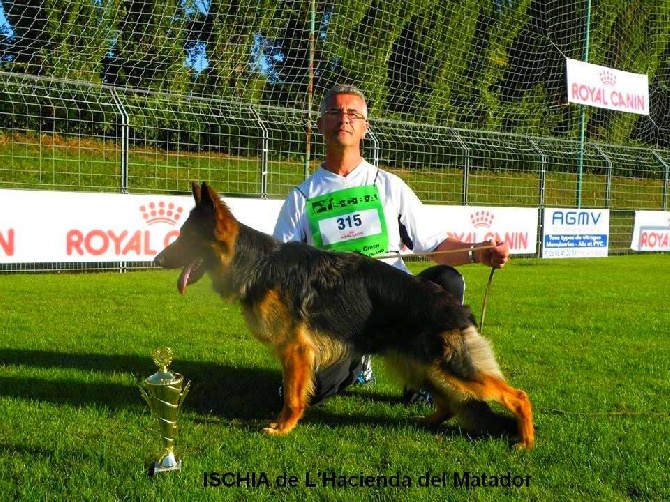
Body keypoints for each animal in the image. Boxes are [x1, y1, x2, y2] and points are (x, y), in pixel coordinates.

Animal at [154, 182, 536, 450]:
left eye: (186, 238)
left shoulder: (296, 351)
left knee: (517, 396)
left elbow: (292, 397)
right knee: (451, 404)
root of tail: (458, 309)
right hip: (420, 366)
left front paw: (283, 427)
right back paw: (429, 420)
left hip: (447, 367)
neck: (257, 264)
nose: (157, 260)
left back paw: (525, 441)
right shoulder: (295, 353)